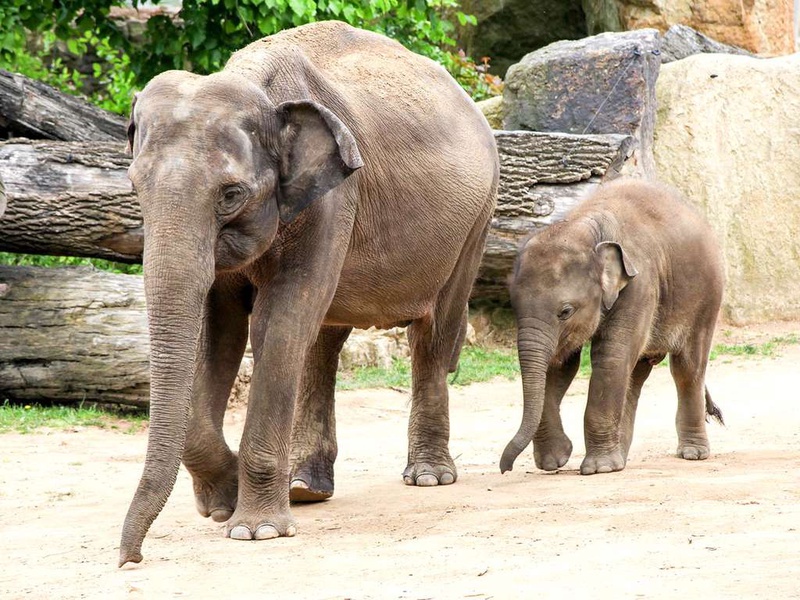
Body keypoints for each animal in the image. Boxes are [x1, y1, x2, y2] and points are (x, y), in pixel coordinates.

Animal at [119, 21, 496, 568]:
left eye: (230, 194)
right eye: (135, 188)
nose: (130, 559)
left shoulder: (334, 197)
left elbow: (277, 323)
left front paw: (254, 529)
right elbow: (218, 331)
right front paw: (224, 501)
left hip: (476, 220)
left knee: (432, 334)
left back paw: (427, 476)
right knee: (323, 340)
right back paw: (303, 488)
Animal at [506, 177, 724, 474]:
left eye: (565, 311)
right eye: (514, 306)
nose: (505, 467)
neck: (586, 226)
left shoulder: (640, 284)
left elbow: (610, 357)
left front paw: (598, 469)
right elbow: (561, 365)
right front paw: (556, 459)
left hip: (707, 296)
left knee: (687, 368)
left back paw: (692, 454)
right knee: (635, 375)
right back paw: (620, 457)